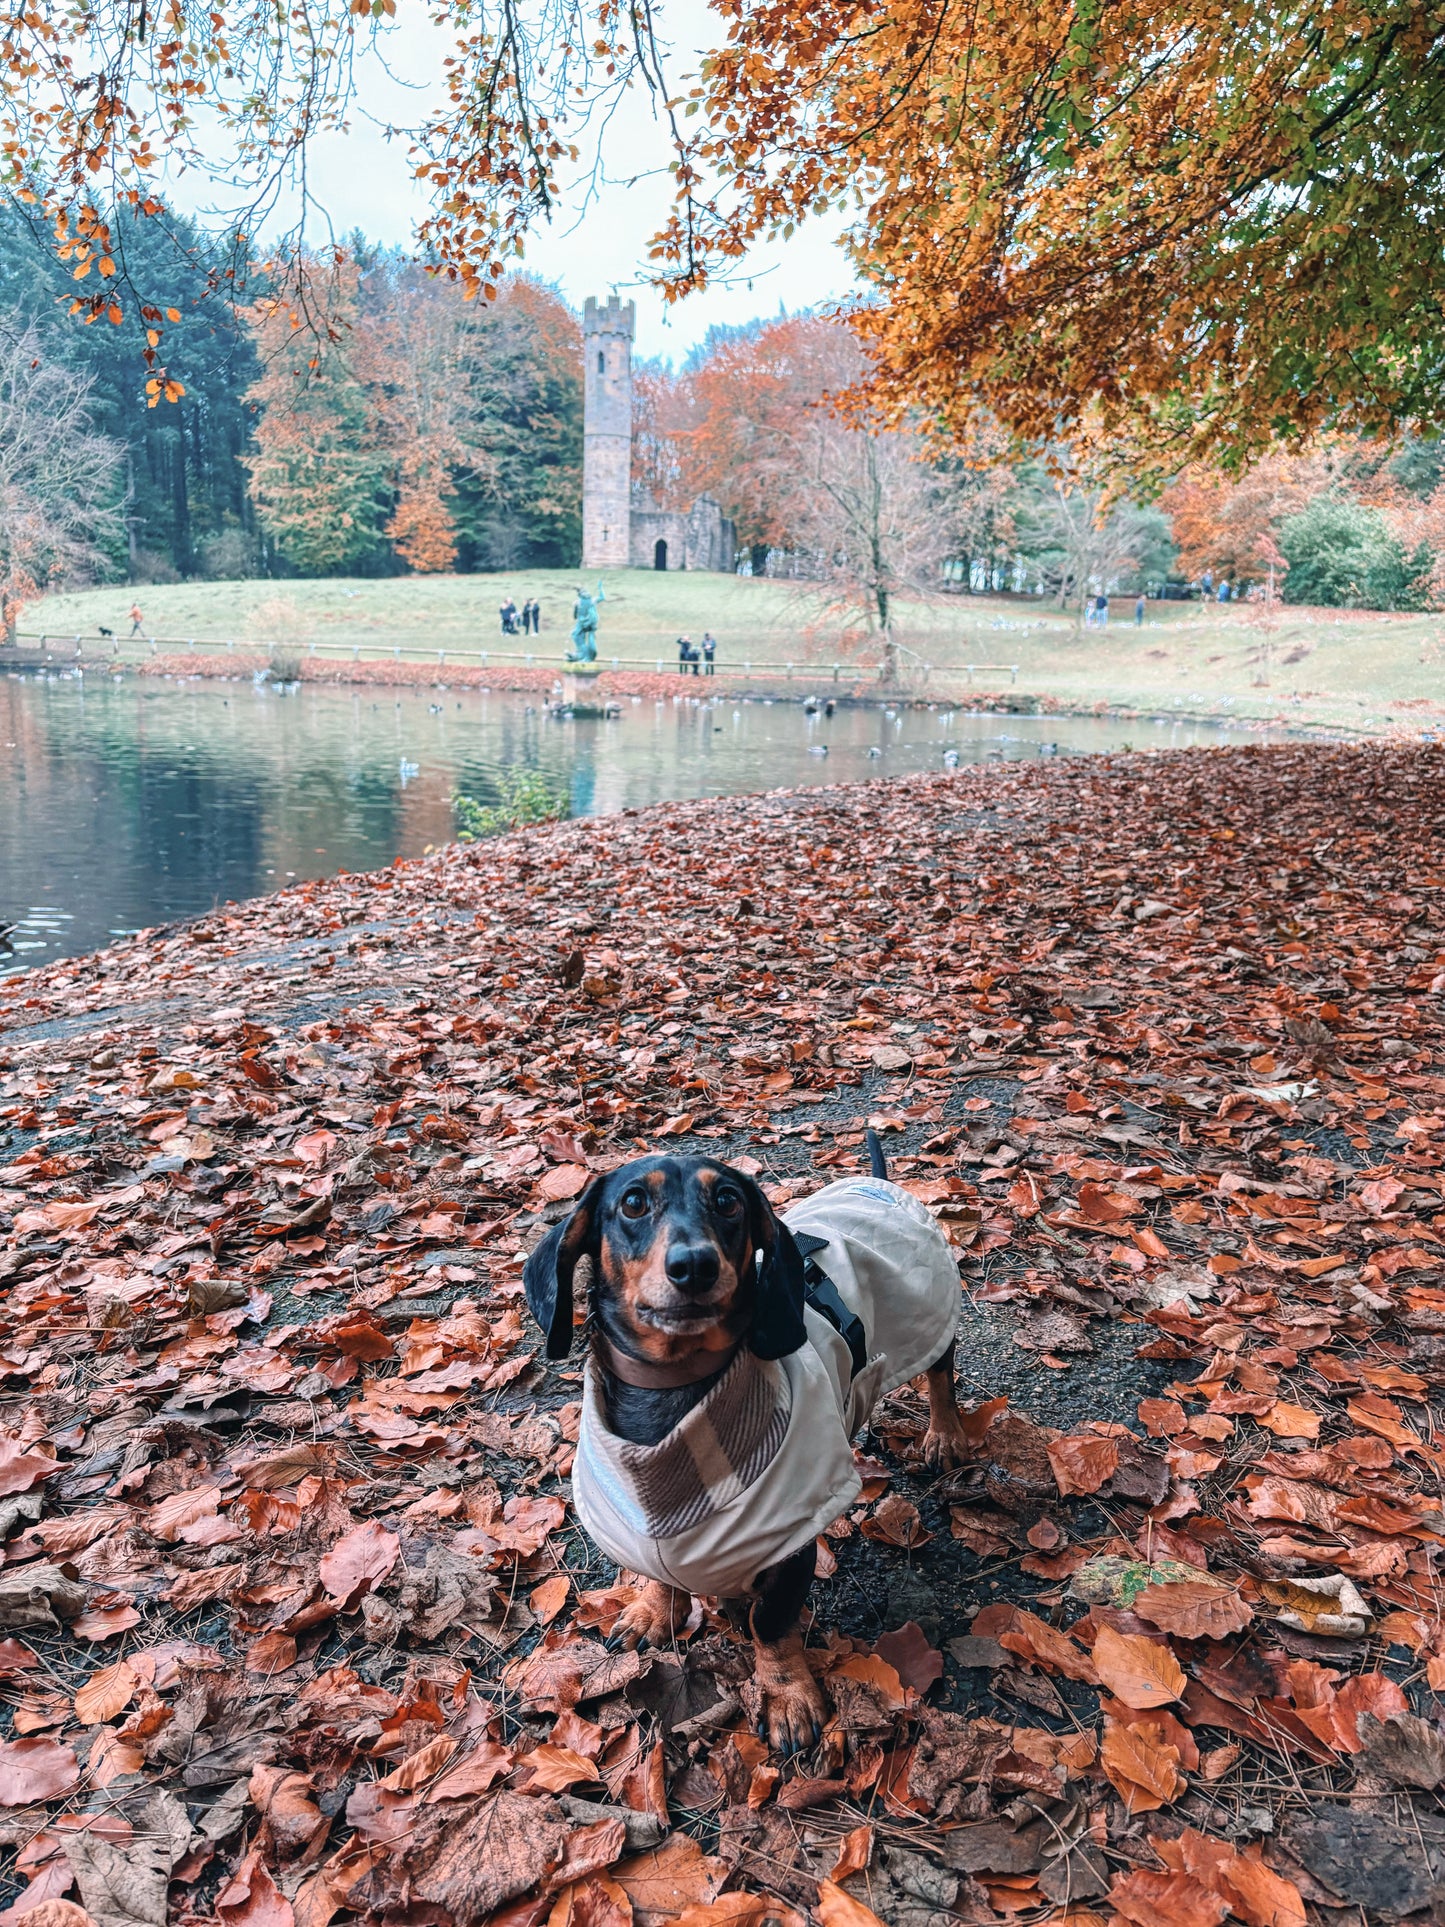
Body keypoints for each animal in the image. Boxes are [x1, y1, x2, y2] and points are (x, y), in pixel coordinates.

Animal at [524, 1133, 974, 1757]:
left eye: (729, 1202)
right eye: (633, 1203)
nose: (694, 1265)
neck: (677, 1395)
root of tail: (878, 1184)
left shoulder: (791, 1546)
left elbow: (772, 1625)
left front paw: (788, 1698)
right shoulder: (646, 1532)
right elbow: (660, 1578)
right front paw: (652, 1613)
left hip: (930, 1316)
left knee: (941, 1375)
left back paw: (944, 1435)